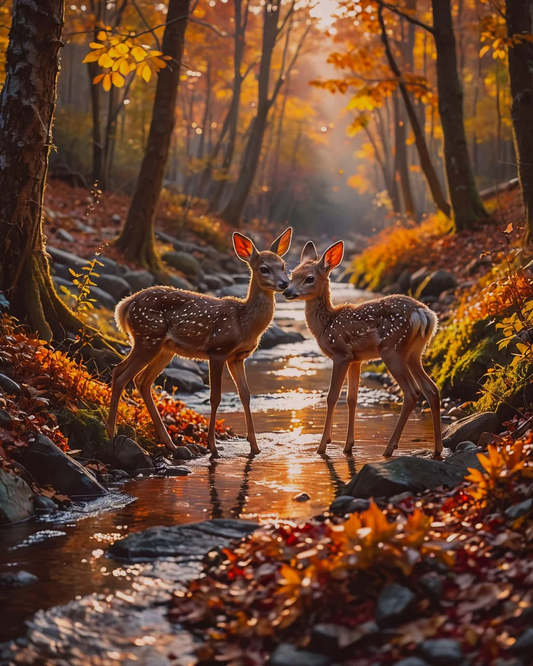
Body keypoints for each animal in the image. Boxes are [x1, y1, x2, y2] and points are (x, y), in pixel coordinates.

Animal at [107, 228, 293, 458]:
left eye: (283, 266)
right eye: (264, 268)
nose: (285, 284)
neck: (244, 322)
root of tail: (125, 304)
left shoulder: (237, 358)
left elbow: (246, 394)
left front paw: (255, 447)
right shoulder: (218, 349)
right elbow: (215, 397)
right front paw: (213, 447)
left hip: (163, 348)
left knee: (141, 380)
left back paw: (170, 444)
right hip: (147, 336)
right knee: (121, 374)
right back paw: (111, 432)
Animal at [284, 240, 442, 458]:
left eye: (309, 278)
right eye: (292, 275)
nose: (287, 291)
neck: (326, 325)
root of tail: (425, 314)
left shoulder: (341, 354)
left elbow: (332, 396)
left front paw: (323, 446)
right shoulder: (356, 359)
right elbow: (352, 398)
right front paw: (348, 446)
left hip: (391, 349)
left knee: (412, 393)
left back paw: (389, 448)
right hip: (414, 353)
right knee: (432, 390)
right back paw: (437, 450)